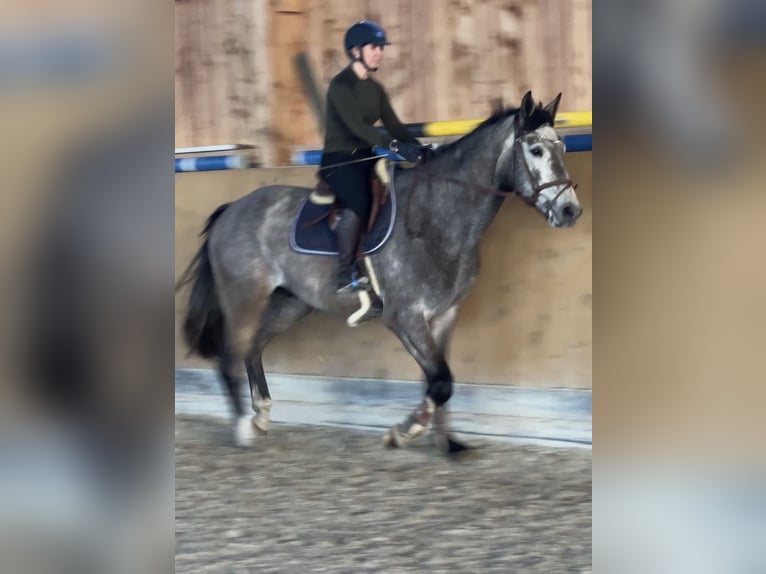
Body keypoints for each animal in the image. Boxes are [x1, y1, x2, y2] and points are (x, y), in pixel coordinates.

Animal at [177, 91, 583, 453]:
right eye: (536, 150)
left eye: (563, 148)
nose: (570, 211)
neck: (437, 218)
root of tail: (231, 210)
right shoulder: (404, 316)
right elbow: (441, 382)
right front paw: (403, 432)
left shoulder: (443, 315)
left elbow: (439, 379)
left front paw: (447, 442)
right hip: (244, 297)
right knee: (231, 353)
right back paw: (243, 429)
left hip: (291, 303)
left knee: (253, 348)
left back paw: (260, 417)